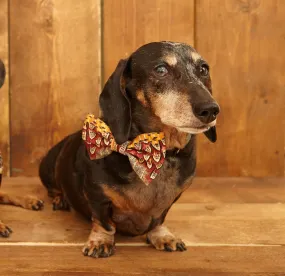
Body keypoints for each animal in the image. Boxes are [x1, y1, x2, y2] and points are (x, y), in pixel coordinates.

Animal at [38, 41, 219, 256]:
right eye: (161, 69)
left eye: (203, 69)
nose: (210, 110)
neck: (160, 154)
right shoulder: (96, 195)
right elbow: (103, 222)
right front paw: (100, 241)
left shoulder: (171, 200)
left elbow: (159, 219)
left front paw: (162, 235)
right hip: (47, 168)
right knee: (53, 189)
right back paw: (60, 199)